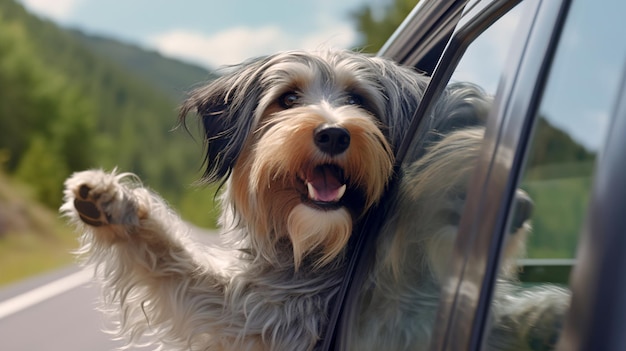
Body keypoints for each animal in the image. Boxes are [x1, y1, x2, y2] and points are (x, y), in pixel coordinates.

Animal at [59, 49, 428, 351]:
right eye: (288, 99)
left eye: (358, 100)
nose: (334, 134)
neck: (316, 247)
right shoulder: (262, 314)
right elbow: (174, 262)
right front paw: (113, 204)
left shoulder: (267, 321)